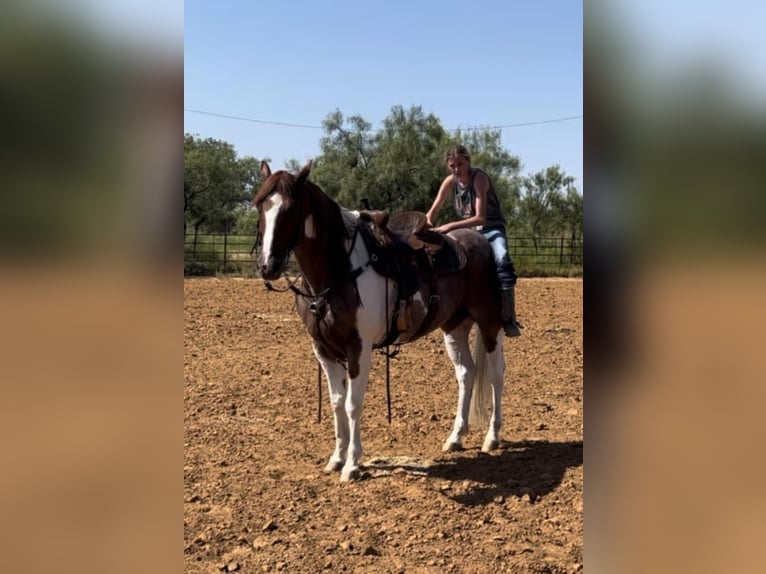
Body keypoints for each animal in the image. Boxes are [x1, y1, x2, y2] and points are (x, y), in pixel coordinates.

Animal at [256, 160, 510, 484]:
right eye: (260, 206)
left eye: (290, 208)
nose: (268, 266)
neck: (339, 269)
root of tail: (480, 241)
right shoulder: (323, 350)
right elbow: (336, 402)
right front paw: (336, 458)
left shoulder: (359, 348)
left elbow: (353, 404)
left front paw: (352, 464)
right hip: (455, 326)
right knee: (466, 373)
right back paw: (455, 437)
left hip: (489, 321)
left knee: (495, 374)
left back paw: (492, 437)